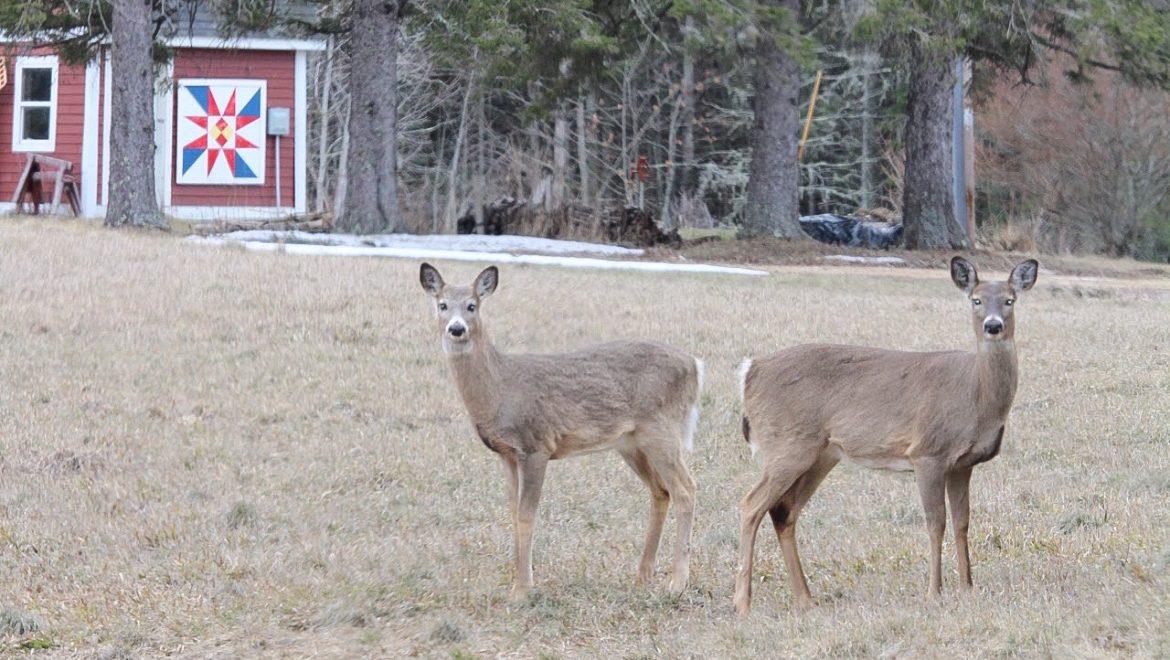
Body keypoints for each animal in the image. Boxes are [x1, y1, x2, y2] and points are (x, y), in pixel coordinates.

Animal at [418, 263, 702, 597]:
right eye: (442, 305)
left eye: (472, 305)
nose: (457, 328)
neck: (500, 389)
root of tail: (695, 365)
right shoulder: (506, 454)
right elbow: (512, 513)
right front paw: (516, 578)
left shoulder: (536, 446)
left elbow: (527, 516)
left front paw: (522, 589)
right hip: (631, 442)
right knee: (661, 491)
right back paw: (643, 574)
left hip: (662, 429)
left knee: (686, 489)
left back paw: (677, 582)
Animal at [733, 257, 1039, 616]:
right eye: (976, 300)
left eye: (1009, 300)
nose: (993, 326)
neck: (976, 394)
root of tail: (750, 372)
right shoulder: (927, 453)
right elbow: (936, 522)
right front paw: (934, 592)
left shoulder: (962, 464)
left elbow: (962, 521)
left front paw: (967, 587)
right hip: (786, 445)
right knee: (750, 505)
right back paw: (743, 602)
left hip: (819, 454)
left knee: (783, 511)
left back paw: (806, 598)